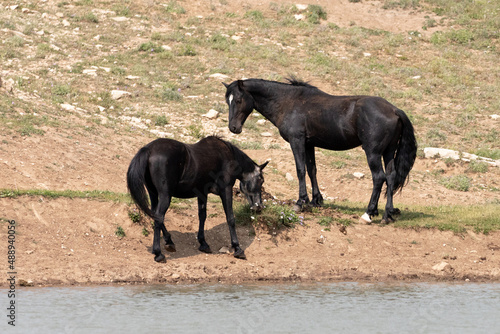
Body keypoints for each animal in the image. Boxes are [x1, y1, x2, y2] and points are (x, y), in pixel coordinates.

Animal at [127, 135, 268, 260]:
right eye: (261, 180)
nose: (259, 206)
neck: (227, 157)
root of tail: (149, 149)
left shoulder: (202, 194)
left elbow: (202, 216)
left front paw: (203, 243)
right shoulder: (226, 190)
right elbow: (230, 218)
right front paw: (237, 248)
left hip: (154, 194)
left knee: (155, 215)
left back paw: (169, 241)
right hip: (165, 195)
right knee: (159, 218)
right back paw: (158, 253)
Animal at [225, 78, 416, 224]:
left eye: (239, 100)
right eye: (228, 100)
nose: (233, 127)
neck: (289, 101)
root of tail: (394, 110)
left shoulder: (297, 141)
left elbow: (300, 170)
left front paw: (301, 202)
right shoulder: (309, 145)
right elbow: (312, 170)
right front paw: (316, 200)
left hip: (373, 153)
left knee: (379, 177)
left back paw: (369, 213)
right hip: (388, 152)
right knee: (390, 177)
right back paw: (387, 214)